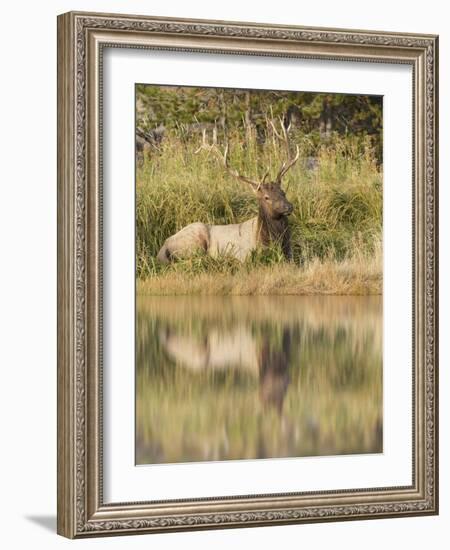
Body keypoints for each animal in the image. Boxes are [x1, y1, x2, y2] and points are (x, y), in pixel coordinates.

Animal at [156, 126, 300, 264]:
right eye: (266, 197)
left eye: (283, 192)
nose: (289, 206)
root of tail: (163, 247)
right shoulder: (244, 255)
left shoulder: (290, 254)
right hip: (194, 242)